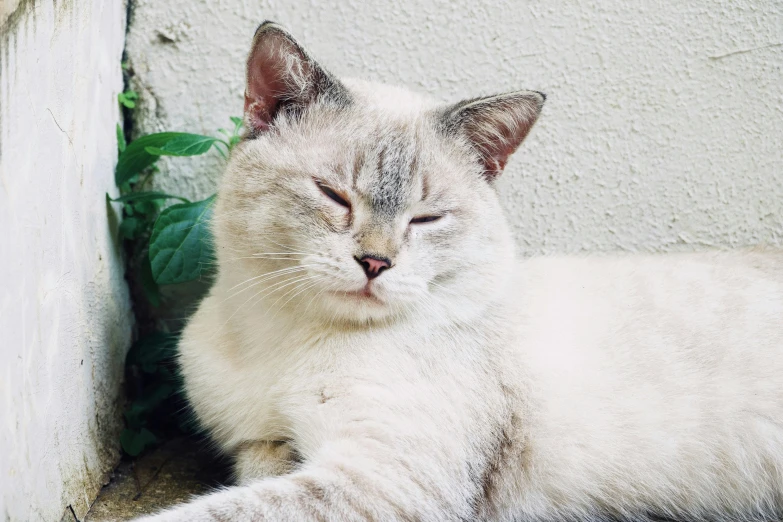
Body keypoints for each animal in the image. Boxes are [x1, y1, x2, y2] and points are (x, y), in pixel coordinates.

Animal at [138, 21, 783, 520]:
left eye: (426, 218)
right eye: (333, 195)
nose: (375, 262)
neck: (279, 341)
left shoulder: (385, 478)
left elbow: (214, 512)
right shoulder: (262, 445)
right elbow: (257, 474)